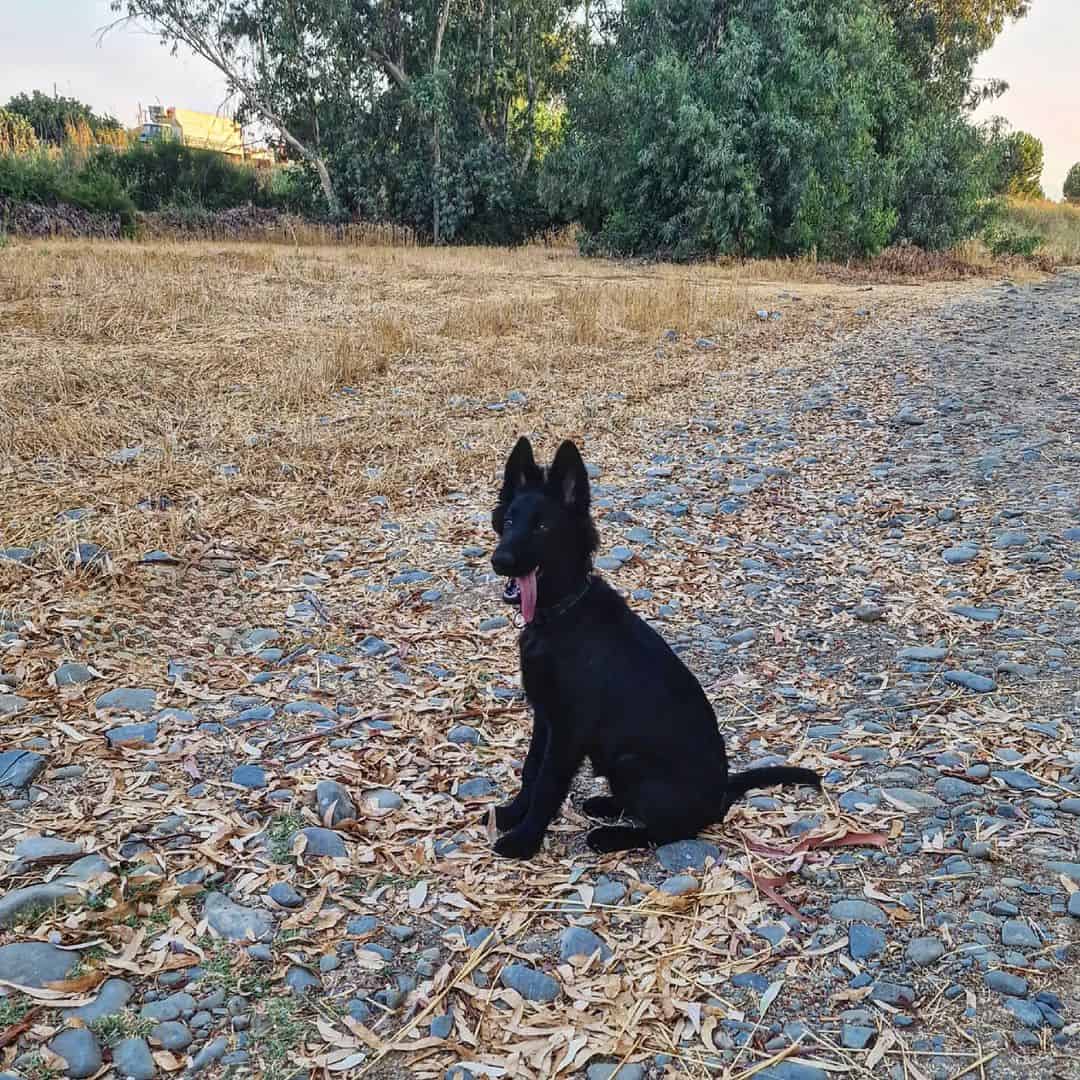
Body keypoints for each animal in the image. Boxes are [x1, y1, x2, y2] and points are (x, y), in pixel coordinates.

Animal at [490, 434, 816, 855]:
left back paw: (612, 835)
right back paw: (605, 804)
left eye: (543, 526)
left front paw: (524, 840)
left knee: (672, 831)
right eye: (509, 522)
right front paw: (514, 814)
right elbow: (531, 771)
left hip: (631, 762)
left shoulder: (568, 730)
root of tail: (721, 794)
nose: (500, 560)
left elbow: (547, 784)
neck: (563, 614)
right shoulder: (545, 717)